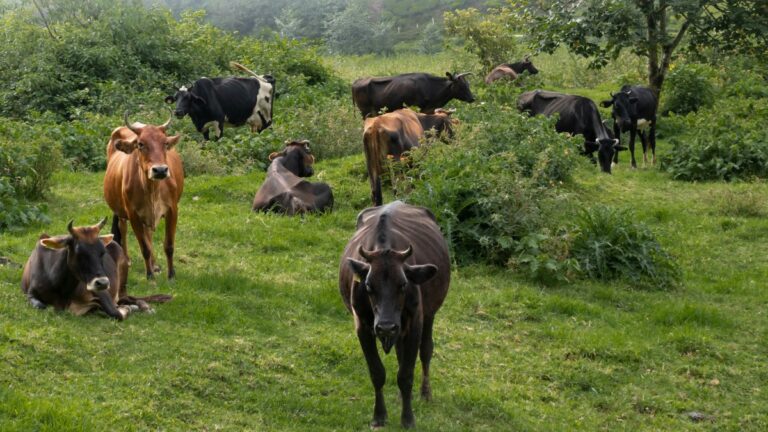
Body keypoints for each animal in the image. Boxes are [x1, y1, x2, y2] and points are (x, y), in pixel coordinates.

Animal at [21, 218, 171, 320]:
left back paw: (145, 307)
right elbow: (41, 305)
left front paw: (128, 309)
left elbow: (116, 312)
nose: (103, 282)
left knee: (127, 298)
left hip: (121, 285)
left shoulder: (101, 293)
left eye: (102, 252)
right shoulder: (30, 293)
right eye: (79, 252)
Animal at [104, 112, 183, 280]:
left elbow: (169, 246)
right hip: (122, 211)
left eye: (165, 143)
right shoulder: (133, 214)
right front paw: (149, 275)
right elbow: (144, 247)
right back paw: (127, 259)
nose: (160, 170)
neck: (152, 189)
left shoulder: (172, 210)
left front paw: (171, 274)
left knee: (148, 234)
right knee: (123, 228)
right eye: (140, 144)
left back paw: (155, 265)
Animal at [339, 200, 450, 429]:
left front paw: (408, 419)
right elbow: (377, 372)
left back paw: (425, 393)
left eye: (403, 284)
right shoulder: (362, 326)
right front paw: (379, 416)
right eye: (368, 286)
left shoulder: (415, 322)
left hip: (429, 315)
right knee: (401, 352)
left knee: (426, 350)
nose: (386, 326)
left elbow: (406, 374)